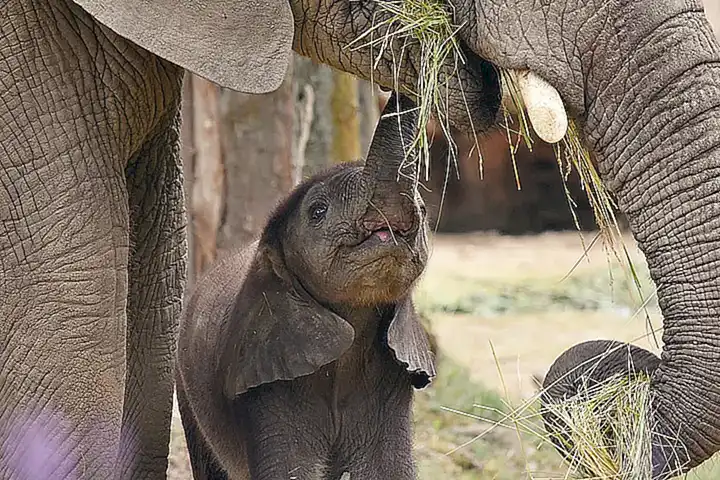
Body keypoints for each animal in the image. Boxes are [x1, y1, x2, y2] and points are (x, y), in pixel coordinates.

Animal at [175, 91, 435, 480]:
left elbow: (386, 468)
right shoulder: (269, 368)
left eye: (424, 208)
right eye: (317, 211)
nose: (396, 91)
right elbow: (291, 469)